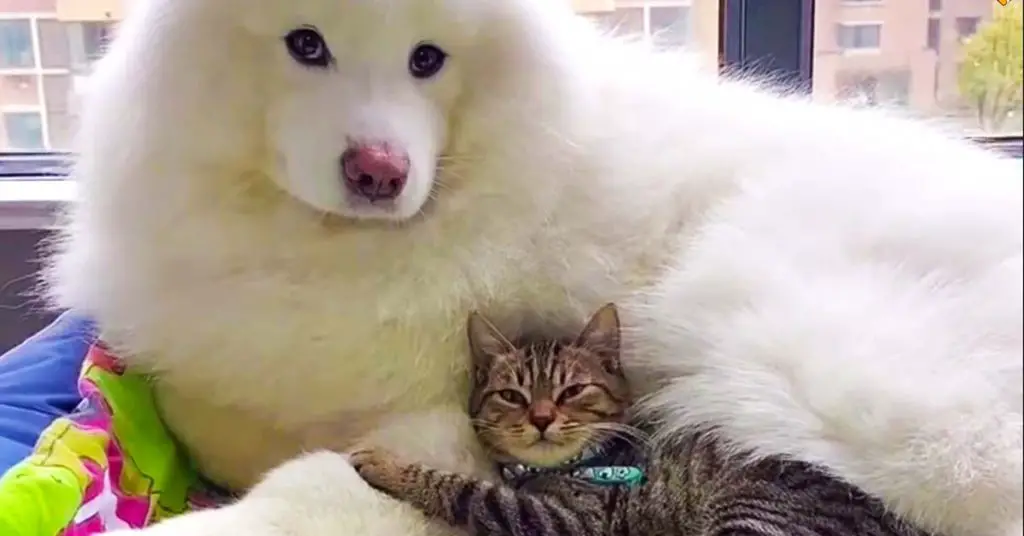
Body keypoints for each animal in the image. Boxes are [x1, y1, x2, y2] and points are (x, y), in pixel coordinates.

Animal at [348, 303, 933, 532]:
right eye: (512, 396)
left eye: (572, 391)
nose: (541, 418)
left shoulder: (564, 520)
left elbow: (462, 489)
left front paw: (382, 463)